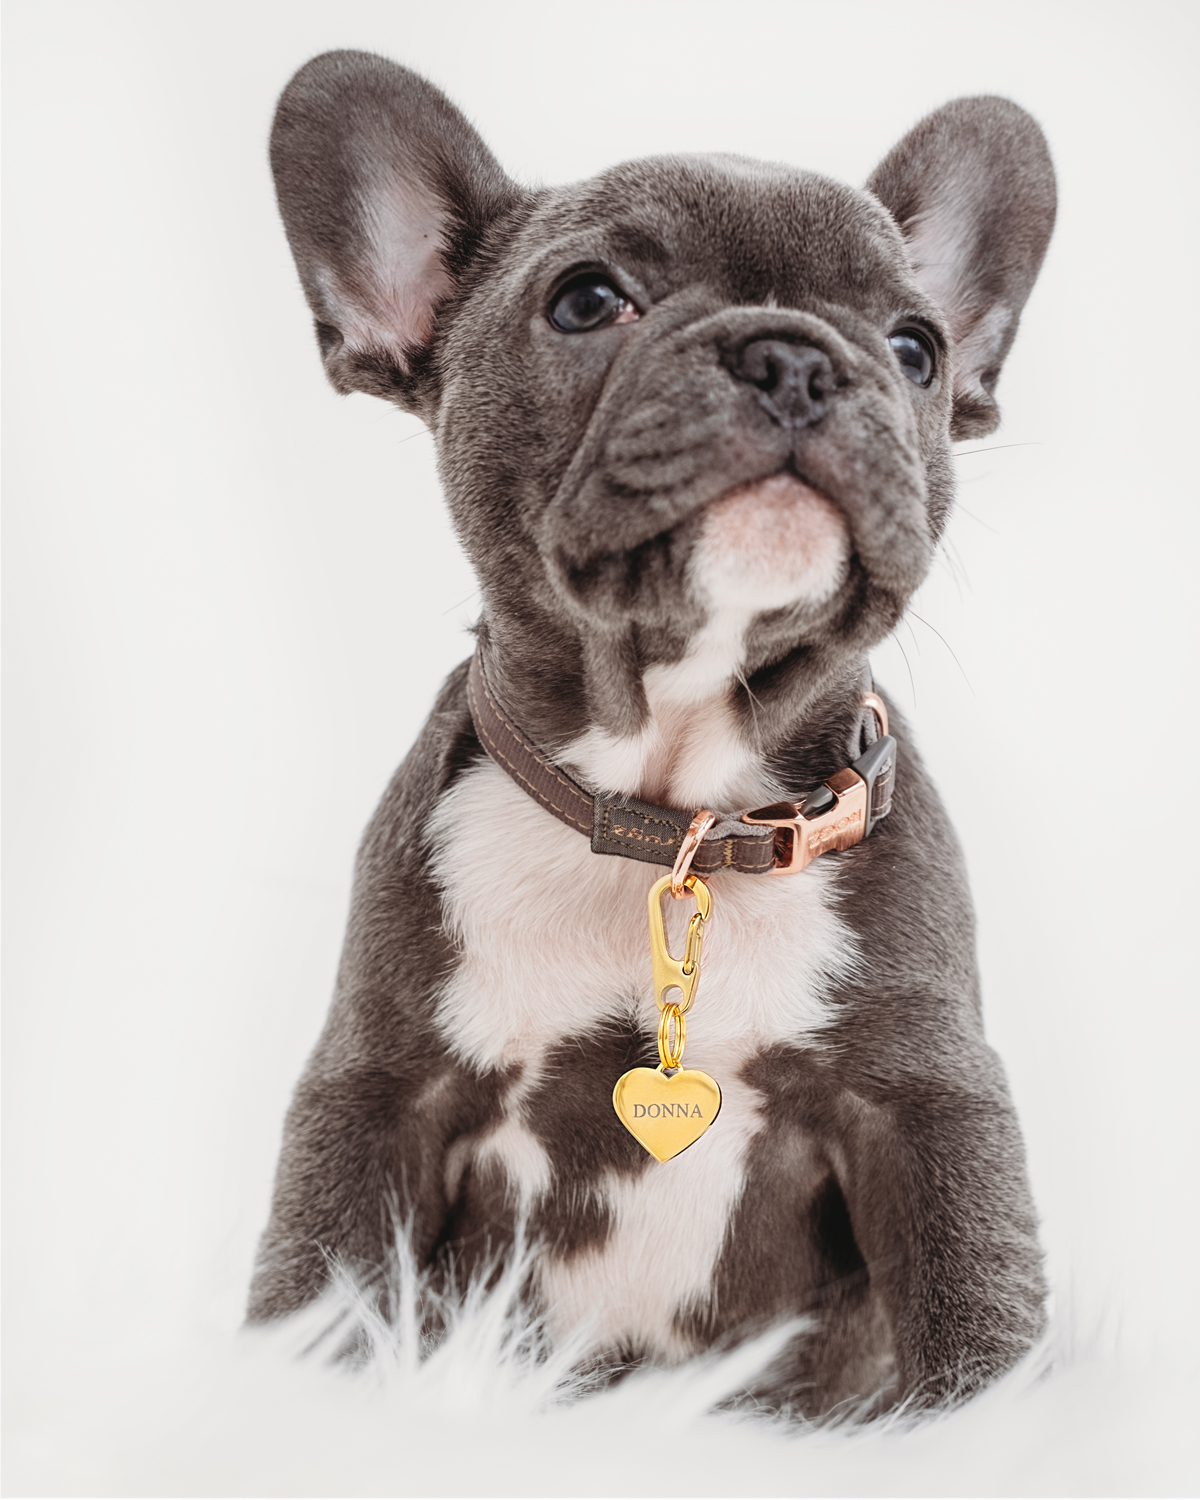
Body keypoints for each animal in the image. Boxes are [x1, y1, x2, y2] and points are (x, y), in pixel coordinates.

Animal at [249, 52, 1056, 1416]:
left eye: (916, 347)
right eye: (588, 301)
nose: (795, 358)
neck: (671, 808)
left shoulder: (926, 1106)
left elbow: (978, 1322)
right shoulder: (378, 1095)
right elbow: (316, 1283)